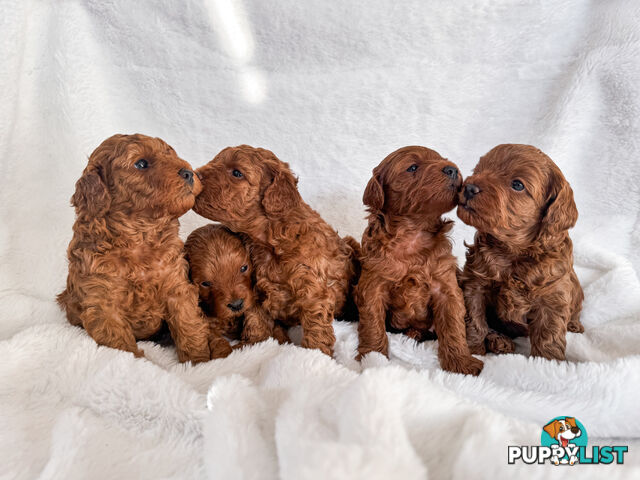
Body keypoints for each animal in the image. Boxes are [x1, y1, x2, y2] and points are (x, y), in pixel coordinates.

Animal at [57, 133, 232, 362]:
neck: (139, 236)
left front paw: (198, 362)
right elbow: (121, 348)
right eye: (141, 164)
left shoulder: (176, 287)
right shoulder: (103, 304)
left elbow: (190, 327)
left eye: (170, 154)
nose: (189, 173)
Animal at [194, 144, 360, 354]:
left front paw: (315, 354)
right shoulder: (256, 289)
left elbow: (316, 327)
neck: (269, 241)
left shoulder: (313, 289)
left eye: (237, 173)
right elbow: (257, 320)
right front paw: (253, 344)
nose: (194, 174)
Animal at [352, 146, 482, 376]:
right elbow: (372, 324)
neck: (413, 232)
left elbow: (453, 326)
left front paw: (461, 362)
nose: (452, 169)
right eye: (412, 167)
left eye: (441, 159)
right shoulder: (373, 284)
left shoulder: (446, 287)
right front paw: (372, 357)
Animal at [458, 143, 584, 360]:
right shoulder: (475, 283)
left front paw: (547, 361)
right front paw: (474, 349)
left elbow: (549, 333)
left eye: (517, 185)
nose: (469, 187)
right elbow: (474, 319)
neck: (513, 250)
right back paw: (499, 341)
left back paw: (575, 324)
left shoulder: (553, 296)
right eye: (479, 169)